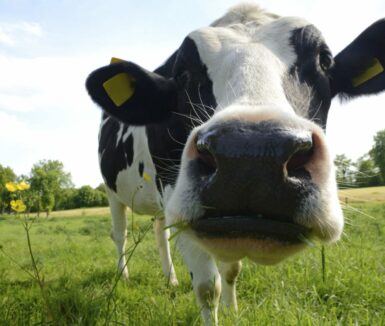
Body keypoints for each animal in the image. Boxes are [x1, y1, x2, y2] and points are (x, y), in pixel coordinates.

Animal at [86, 3, 384, 324]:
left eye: (324, 61)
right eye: (182, 73)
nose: (251, 155)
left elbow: (231, 270)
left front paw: (233, 310)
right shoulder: (175, 196)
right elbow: (207, 287)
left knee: (159, 231)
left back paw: (171, 279)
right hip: (112, 192)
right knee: (120, 234)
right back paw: (124, 277)